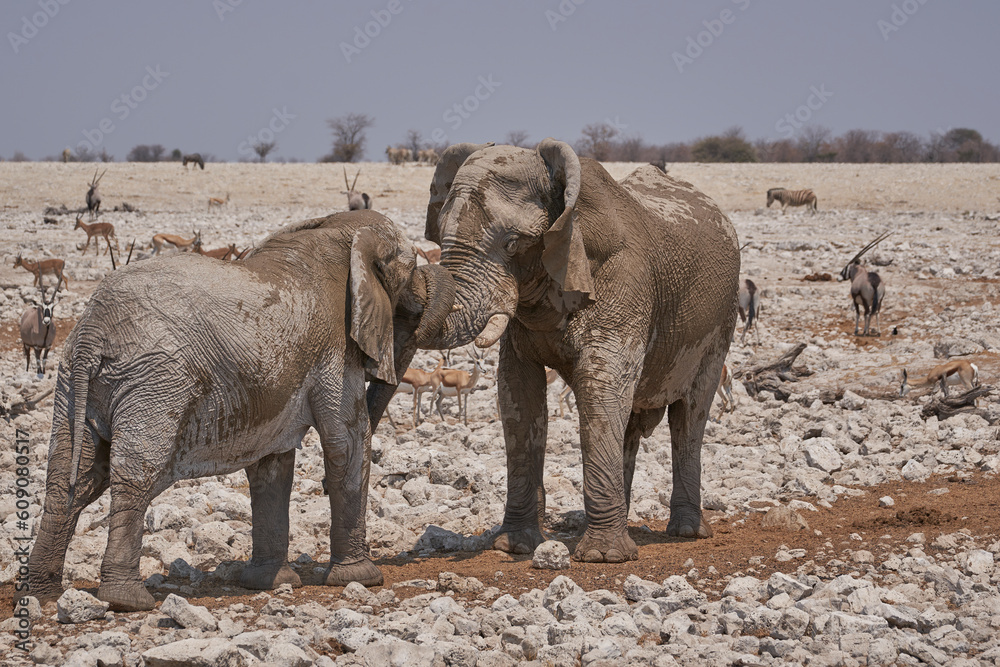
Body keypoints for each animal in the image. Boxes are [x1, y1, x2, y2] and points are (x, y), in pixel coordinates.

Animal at [28, 210, 455, 612]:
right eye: (411, 268)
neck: (339, 230)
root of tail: (92, 331)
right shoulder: (335, 343)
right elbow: (348, 441)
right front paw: (362, 579)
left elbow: (272, 463)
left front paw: (270, 583)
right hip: (156, 378)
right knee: (135, 472)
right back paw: (127, 601)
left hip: (72, 379)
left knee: (72, 476)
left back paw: (41, 595)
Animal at [420, 139, 740, 563]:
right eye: (439, 236)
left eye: (512, 243)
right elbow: (518, 396)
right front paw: (515, 546)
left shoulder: (624, 282)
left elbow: (601, 385)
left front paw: (603, 558)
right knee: (630, 424)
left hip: (720, 323)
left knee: (690, 414)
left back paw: (685, 532)